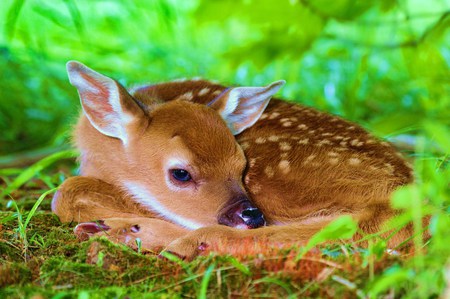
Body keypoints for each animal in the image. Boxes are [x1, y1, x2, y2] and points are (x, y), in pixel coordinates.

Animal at [51, 60, 414, 260]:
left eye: (241, 165)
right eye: (181, 173)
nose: (252, 215)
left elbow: (65, 194)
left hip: (279, 180)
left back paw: (124, 233)